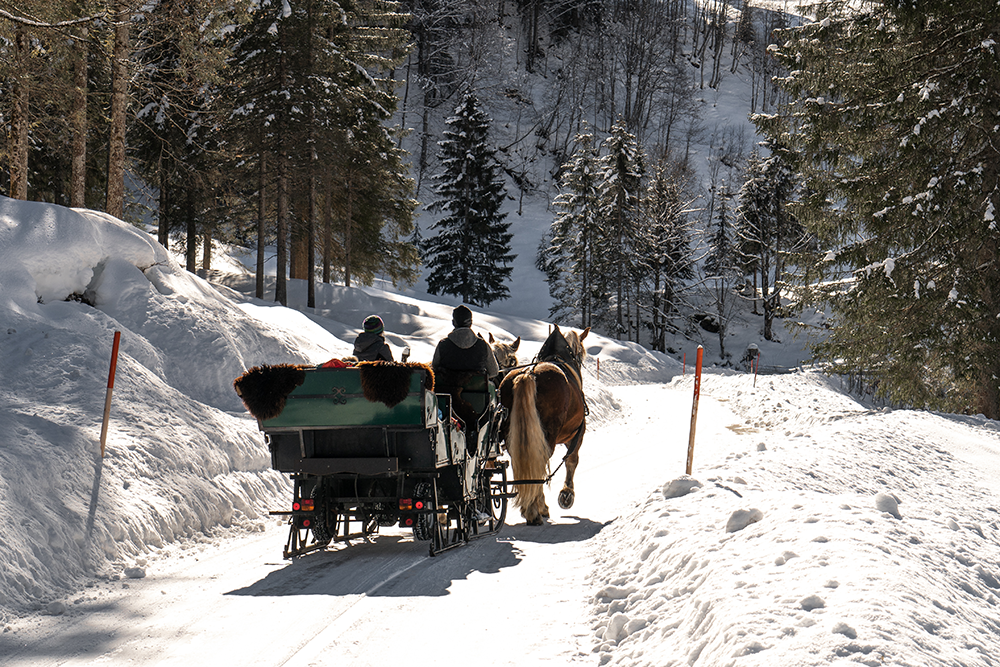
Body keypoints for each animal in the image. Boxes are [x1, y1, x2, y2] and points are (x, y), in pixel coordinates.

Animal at [498, 326, 584, 524]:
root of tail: (528, 374)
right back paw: (536, 509)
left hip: (511, 433)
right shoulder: (577, 433)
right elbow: (571, 460)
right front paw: (567, 494)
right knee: (540, 461)